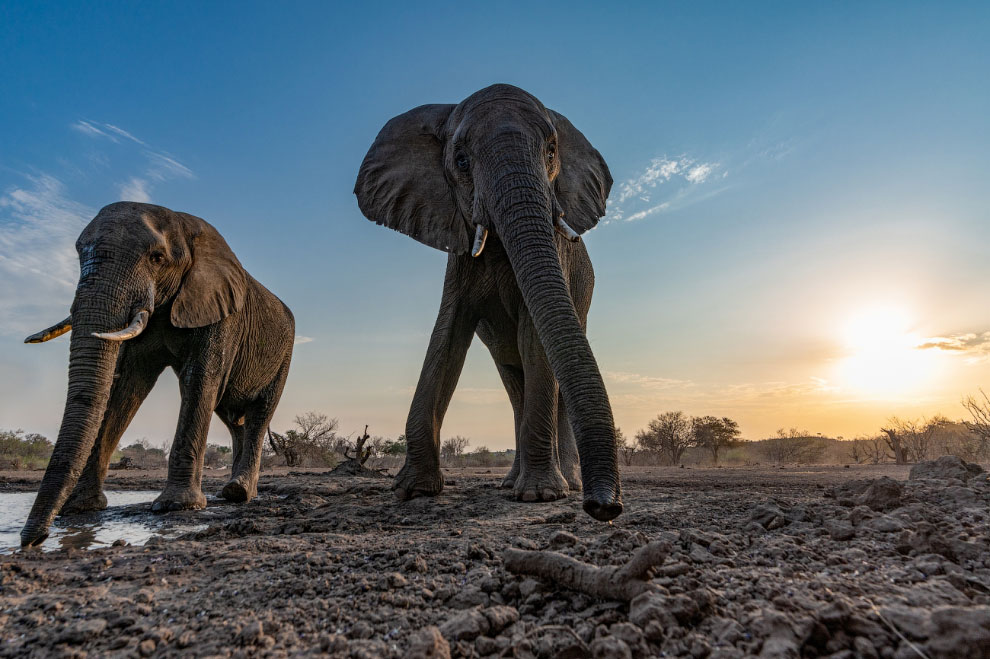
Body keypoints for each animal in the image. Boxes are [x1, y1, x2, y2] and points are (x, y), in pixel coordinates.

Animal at [20, 201, 294, 548]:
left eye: (157, 258)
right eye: (79, 253)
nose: (33, 540)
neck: (185, 224)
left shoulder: (222, 314)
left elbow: (199, 380)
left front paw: (176, 505)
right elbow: (126, 386)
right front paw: (81, 507)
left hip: (284, 355)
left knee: (259, 415)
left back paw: (239, 492)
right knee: (234, 421)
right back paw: (233, 491)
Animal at [354, 82, 620, 520]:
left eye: (551, 151)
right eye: (461, 160)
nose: (605, 508)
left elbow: (534, 336)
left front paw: (541, 496)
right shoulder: (457, 247)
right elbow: (446, 336)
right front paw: (414, 490)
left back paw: (564, 484)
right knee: (515, 383)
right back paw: (515, 483)